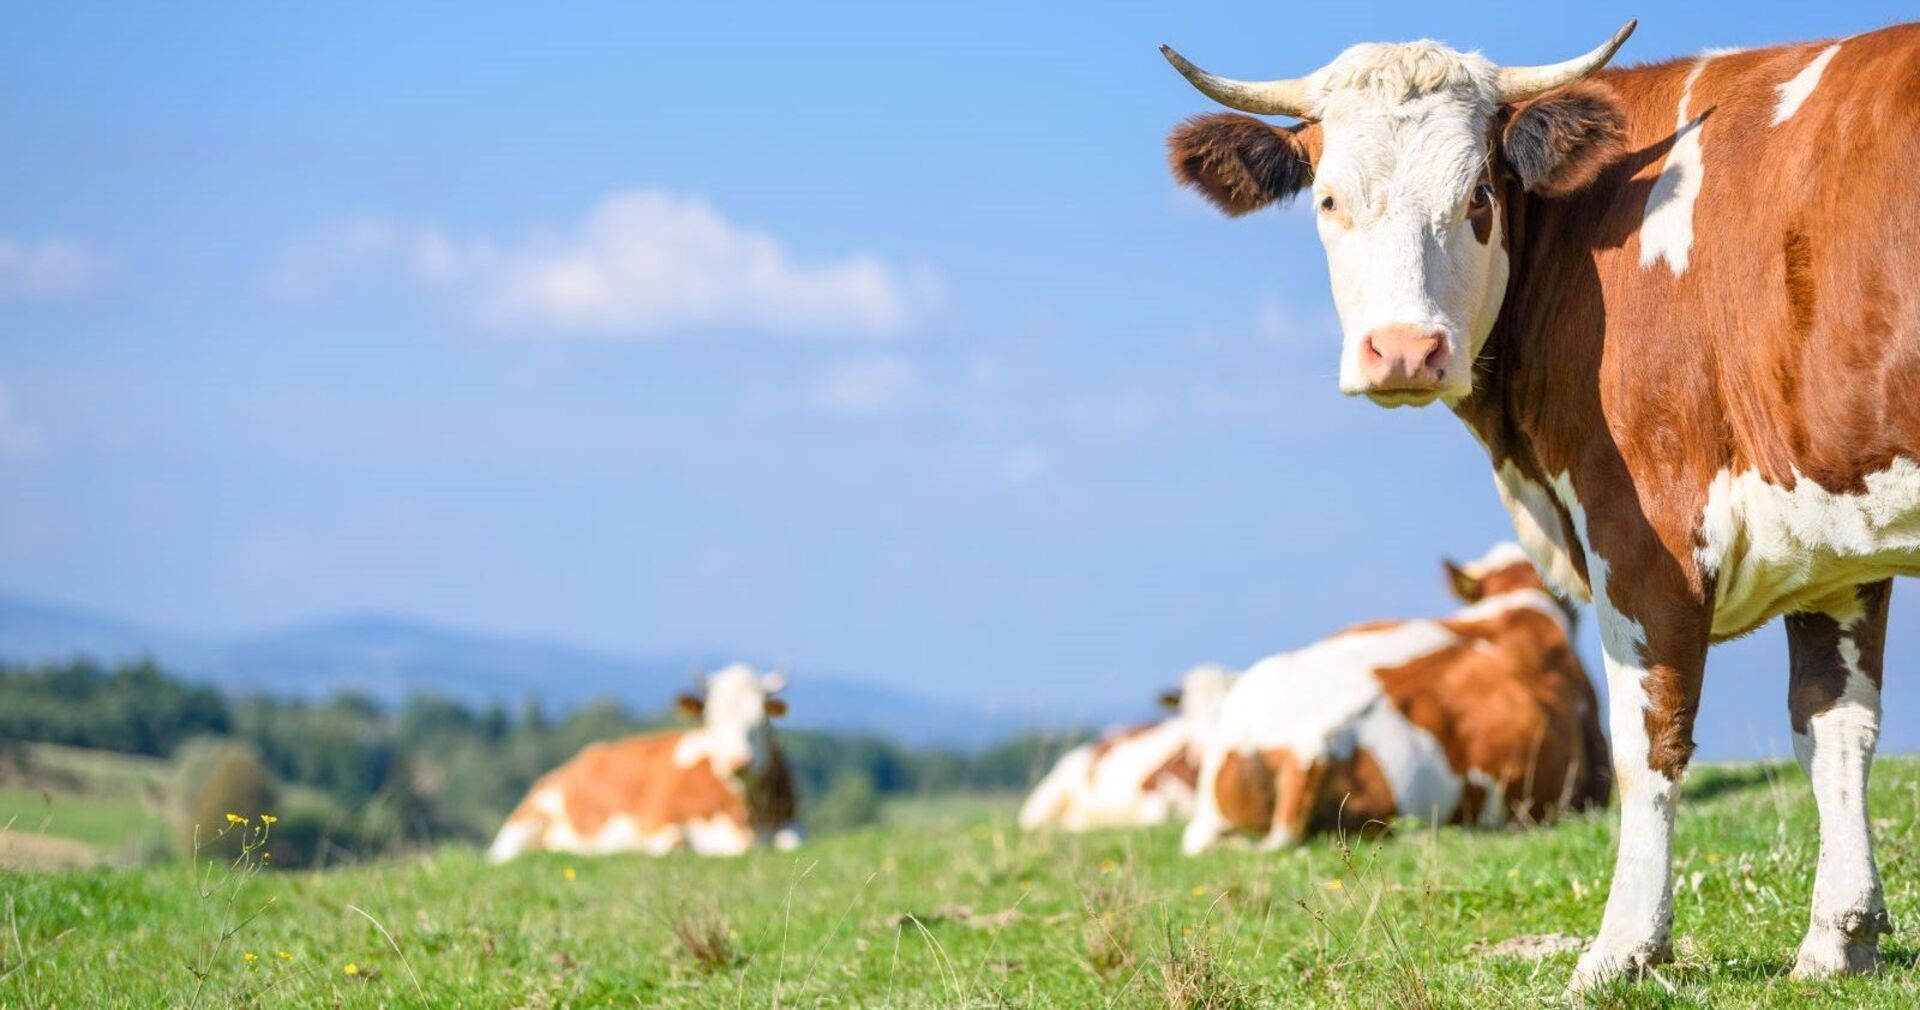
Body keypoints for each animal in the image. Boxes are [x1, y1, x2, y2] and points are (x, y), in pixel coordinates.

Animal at [486, 664, 800, 861]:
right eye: (711, 720)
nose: (738, 762)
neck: (745, 815)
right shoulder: (659, 825)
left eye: (761, 720)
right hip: (527, 820)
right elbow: (674, 846)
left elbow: (791, 843)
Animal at [1018, 664, 1234, 831]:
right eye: (1186, 709)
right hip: (1046, 798)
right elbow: (1160, 816)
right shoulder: (1150, 789)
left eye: (1224, 704)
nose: (1198, 750)